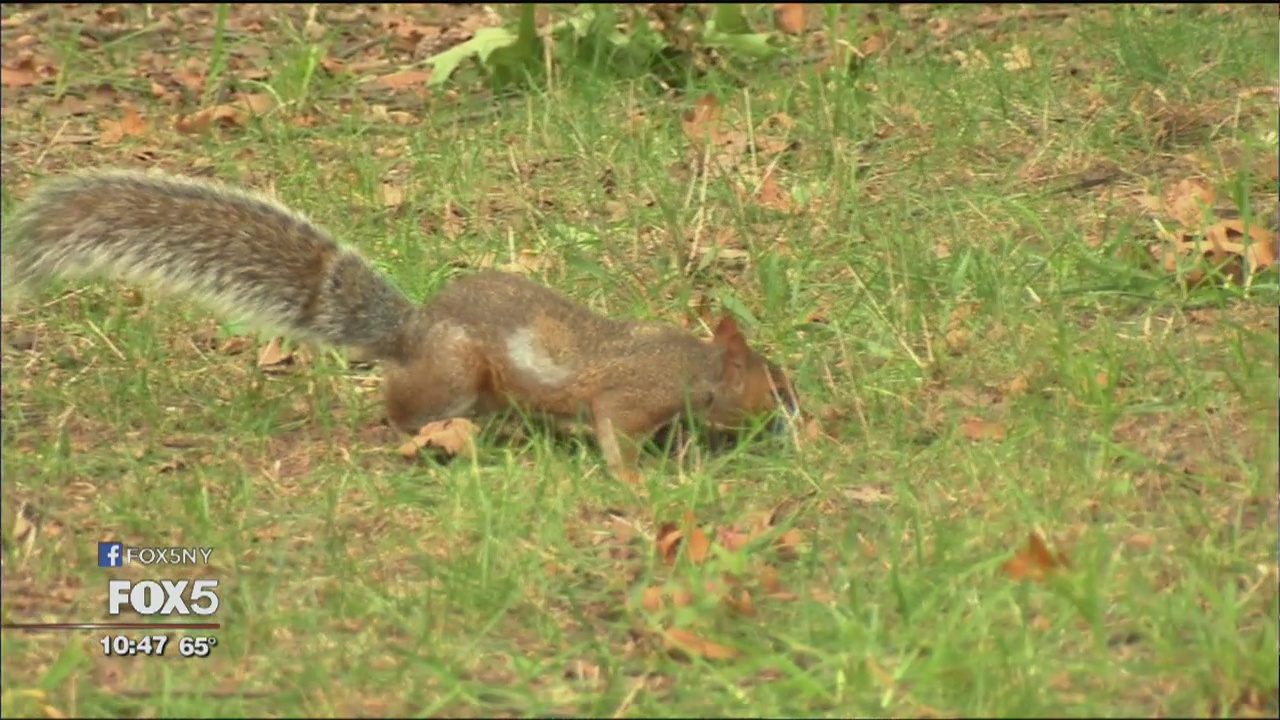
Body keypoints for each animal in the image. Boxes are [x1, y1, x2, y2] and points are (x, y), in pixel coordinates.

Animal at [2, 169, 799, 482]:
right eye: (775, 385)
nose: (799, 420)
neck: (695, 366)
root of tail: (410, 335)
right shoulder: (629, 396)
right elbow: (612, 432)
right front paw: (637, 482)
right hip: (454, 374)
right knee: (400, 411)